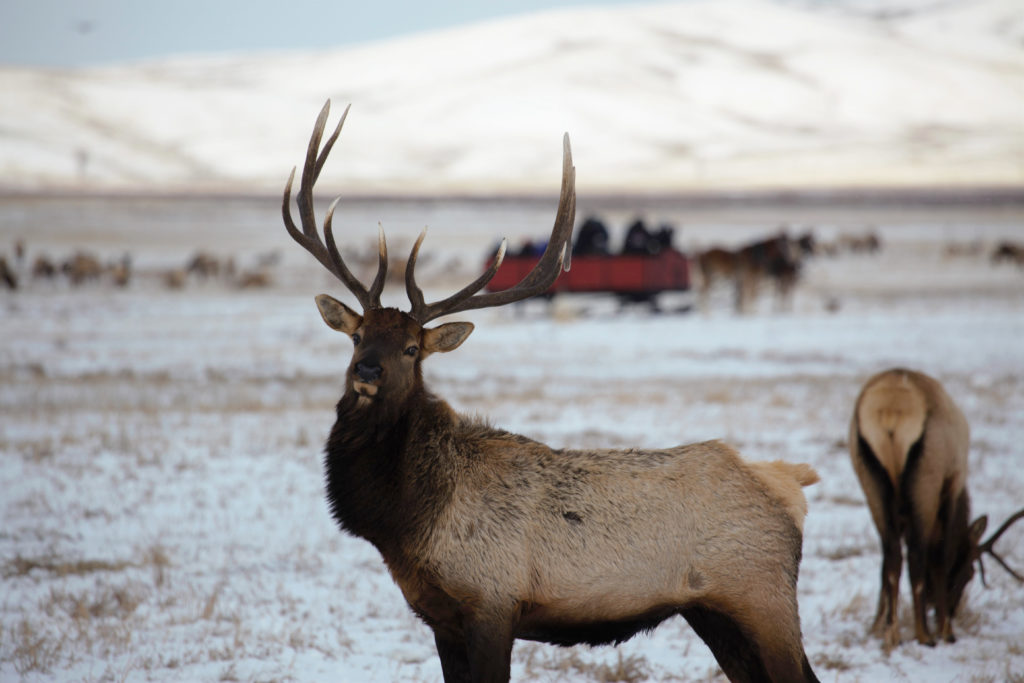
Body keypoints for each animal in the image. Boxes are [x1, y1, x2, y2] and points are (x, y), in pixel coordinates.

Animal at [282, 100, 821, 683]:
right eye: (357, 335)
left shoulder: (493, 602)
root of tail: (790, 485)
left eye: (410, 349)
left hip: (762, 597)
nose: (367, 371)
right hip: (715, 614)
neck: (407, 521)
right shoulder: (439, 616)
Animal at [849, 368, 1024, 651]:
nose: (952, 610)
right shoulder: (951, 485)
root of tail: (890, 411)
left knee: (892, 555)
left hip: (871, 483)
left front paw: (876, 625)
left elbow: (884, 567)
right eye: (968, 572)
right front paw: (945, 630)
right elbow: (940, 555)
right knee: (917, 555)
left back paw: (892, 633)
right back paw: (925, 634)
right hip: (926, 481)